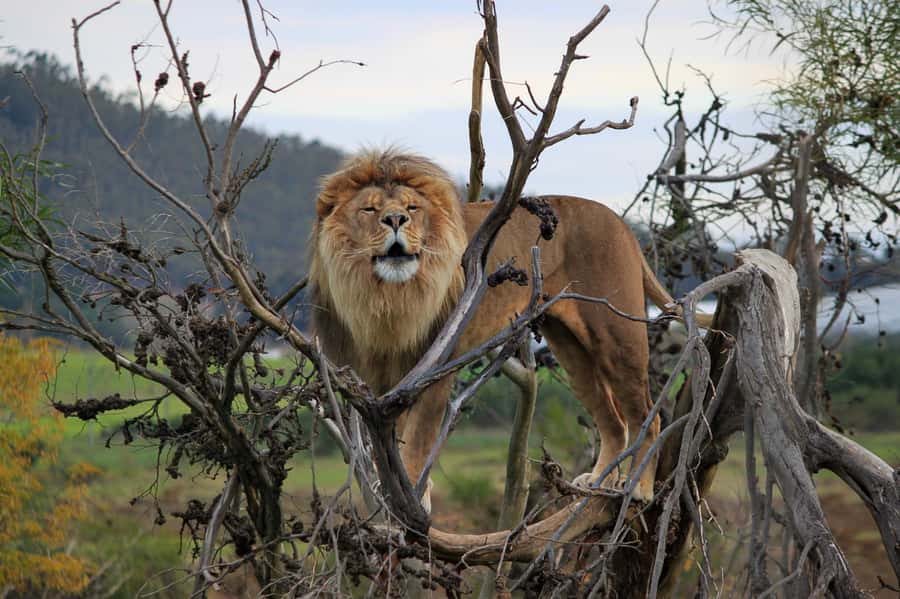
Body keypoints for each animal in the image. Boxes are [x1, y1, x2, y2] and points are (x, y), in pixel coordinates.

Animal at [309, 149, 681, 508]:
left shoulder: (436, 371)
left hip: (617, 335)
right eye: (370, 209)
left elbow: (417, 441)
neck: (388, 295)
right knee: (614, 422)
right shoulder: (383, 382)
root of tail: (619, 222)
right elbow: (391, 443)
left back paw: (639, 488)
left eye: (411, 208)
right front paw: (391, 493)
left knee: (647, 416)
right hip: (570, 350)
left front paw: (415, 496)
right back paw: (598, 480)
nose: (396, 219)